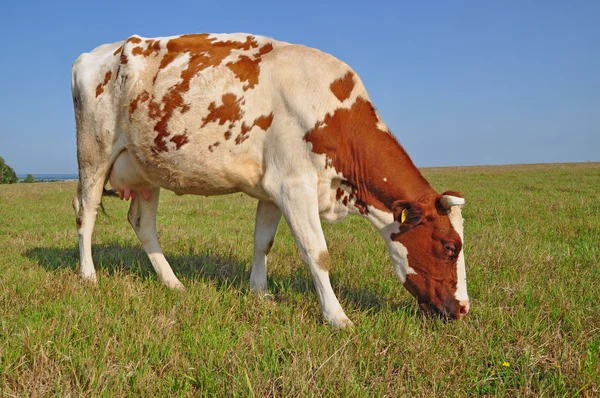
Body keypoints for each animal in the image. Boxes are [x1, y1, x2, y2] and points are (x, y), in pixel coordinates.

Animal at [71, 33, 468, 326]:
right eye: (450, 246)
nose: (464, 309)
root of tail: (95, 53)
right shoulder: (294, 186)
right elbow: (317, 253)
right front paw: (337, 317)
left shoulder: (272, 190)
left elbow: (263, 243)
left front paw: (260, 294)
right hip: (94, 153)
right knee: (86, 212)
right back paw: (89, 276)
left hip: (145, 167)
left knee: (142, 223)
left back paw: (173, 283)